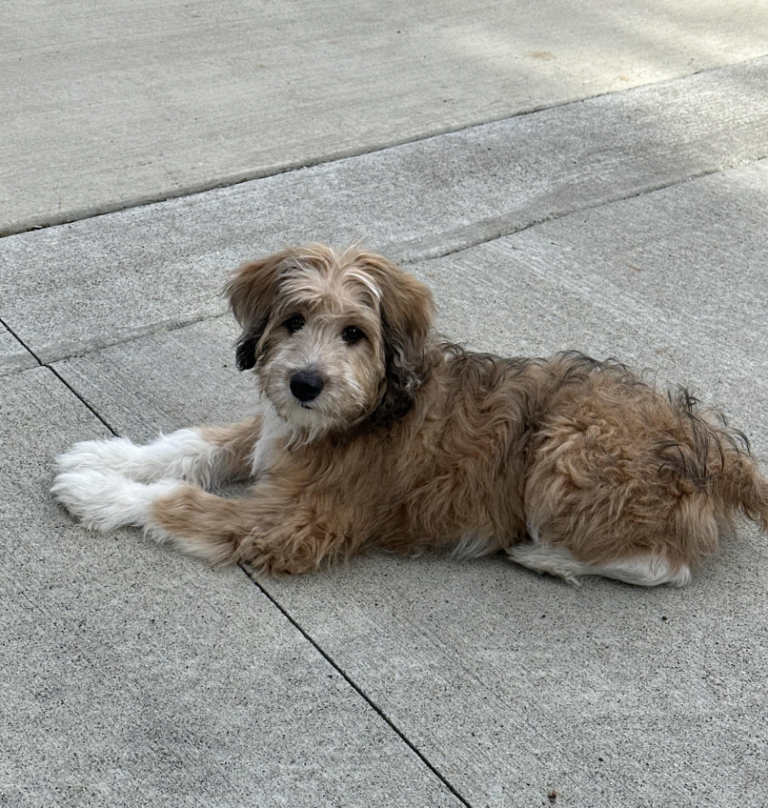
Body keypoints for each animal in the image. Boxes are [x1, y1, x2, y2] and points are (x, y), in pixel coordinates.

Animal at [52, 243, 768, 584]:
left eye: (355, 333)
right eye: (293, 320)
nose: (306, 383)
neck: (365, 410)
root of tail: (719, 451)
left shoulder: (297, 523)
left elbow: (178, 500)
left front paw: (97, 492)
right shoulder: (276, 430)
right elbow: (194, 445)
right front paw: (109, 457)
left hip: (567, 449)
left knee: (665, 566)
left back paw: (545, 557)